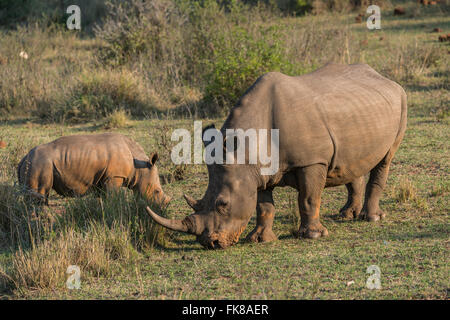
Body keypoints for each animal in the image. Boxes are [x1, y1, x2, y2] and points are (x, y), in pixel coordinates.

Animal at [17, 132, 169, 205]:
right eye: (156, 191)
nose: (163, 206)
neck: (138, 166)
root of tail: (23, 158)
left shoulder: (102, 179)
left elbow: (102, 198)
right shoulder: (114, 176)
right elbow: (112, 197)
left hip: (34, 162)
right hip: (39, 163)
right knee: (40, 194)